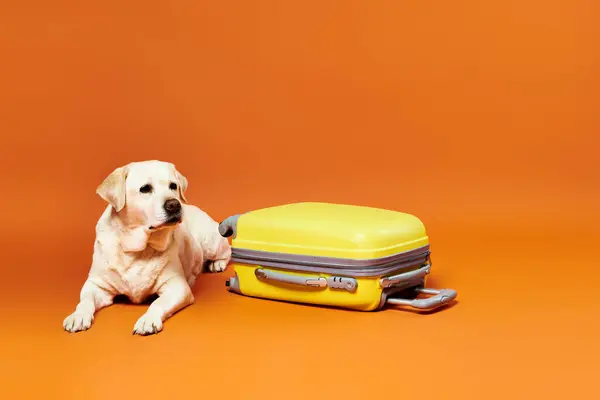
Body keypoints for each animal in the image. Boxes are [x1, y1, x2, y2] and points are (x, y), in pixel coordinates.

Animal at [63, 161, 231, 336]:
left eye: (173, 186)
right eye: (145, 189)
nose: (174, 204)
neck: (137, 250)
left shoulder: (177, 286)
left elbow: (157, 303)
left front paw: (148, 319)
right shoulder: (96, 285)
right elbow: (85, 301)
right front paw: (77, 316)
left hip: (211, 242)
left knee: (227, 250)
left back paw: (217, 263)